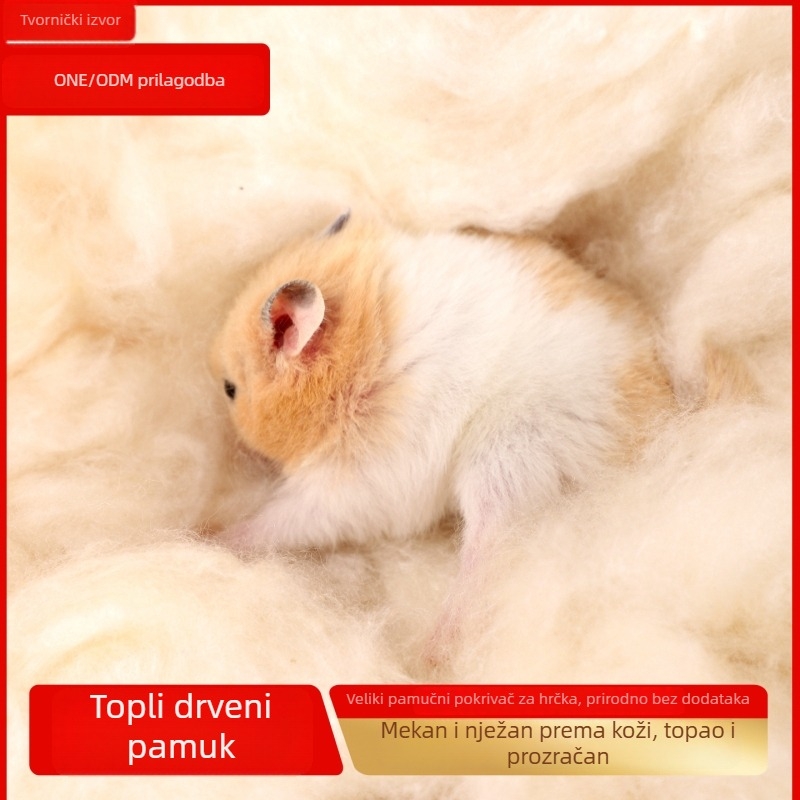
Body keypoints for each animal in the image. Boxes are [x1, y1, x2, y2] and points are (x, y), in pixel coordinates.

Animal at [211, 212, 675, 660]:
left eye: (230, 389)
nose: (240, 449)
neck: (364, 355)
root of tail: (658, 425)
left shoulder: (358, 486)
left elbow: (282, 520)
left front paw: (213, 536)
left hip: (509, 453)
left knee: (491, 550)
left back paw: (436, 651)